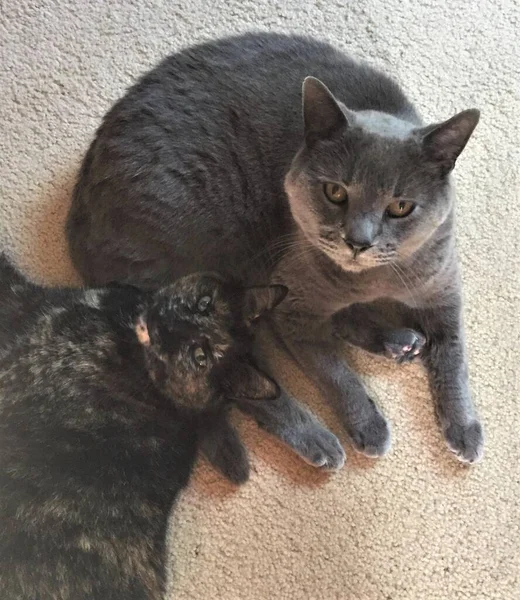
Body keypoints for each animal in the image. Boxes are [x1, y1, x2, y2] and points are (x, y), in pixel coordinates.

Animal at [67, 32, 486, 468]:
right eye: (335, 192)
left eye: (401, 206)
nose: (358, 241)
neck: (371, 282)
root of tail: (77, 217)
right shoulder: (293, 302)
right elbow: (333, 371)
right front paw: (368, 426)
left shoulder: (442, 289)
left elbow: (454, 355)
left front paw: (465, 429)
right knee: (237, 383)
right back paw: (320, 440)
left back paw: (399, 341)